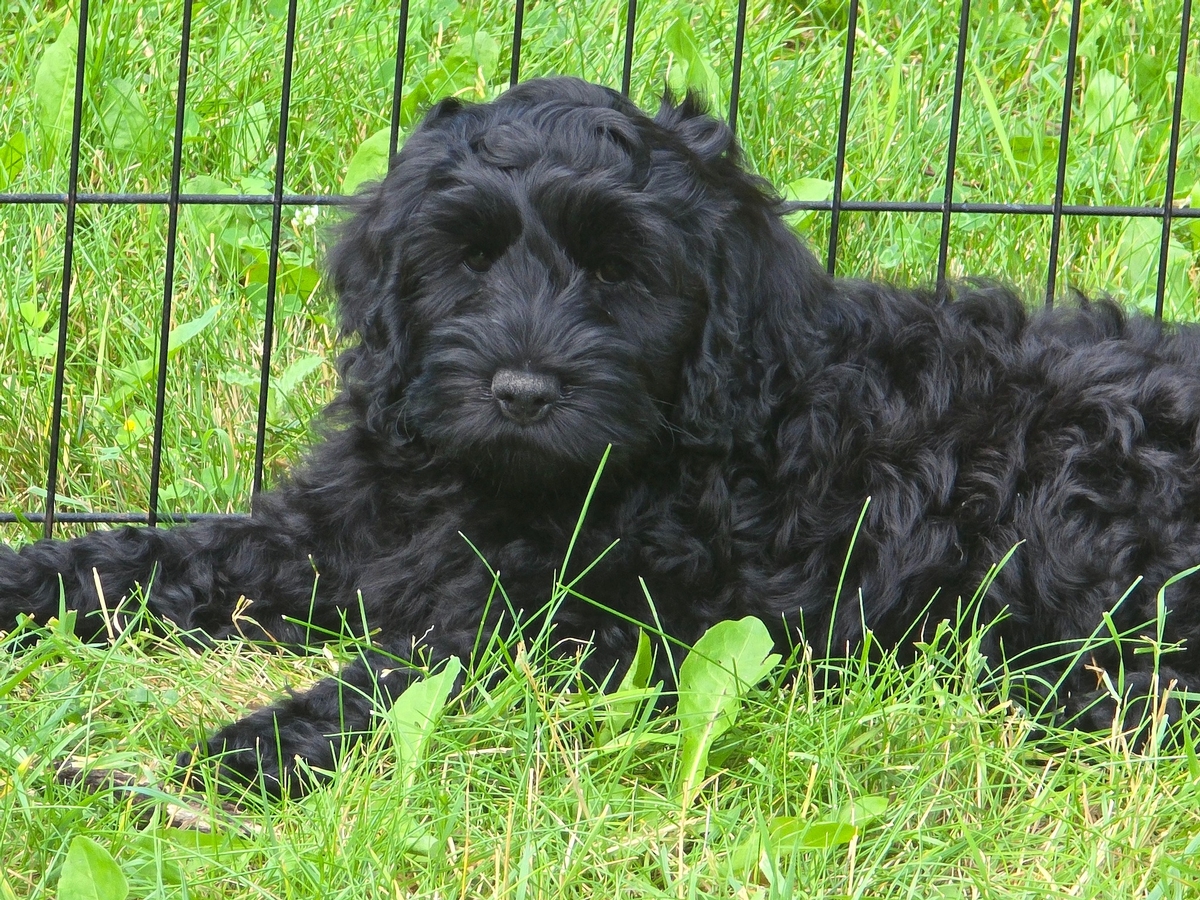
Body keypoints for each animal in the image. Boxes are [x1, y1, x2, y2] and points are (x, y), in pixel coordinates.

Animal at [3, 77, 1199, 797]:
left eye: (622, 273)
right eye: (468, 260)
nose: (522, 390)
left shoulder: (602, 629)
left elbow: (406, 680)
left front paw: (225, 757)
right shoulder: (337, 534)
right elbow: (160, 555)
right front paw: (29, 582)